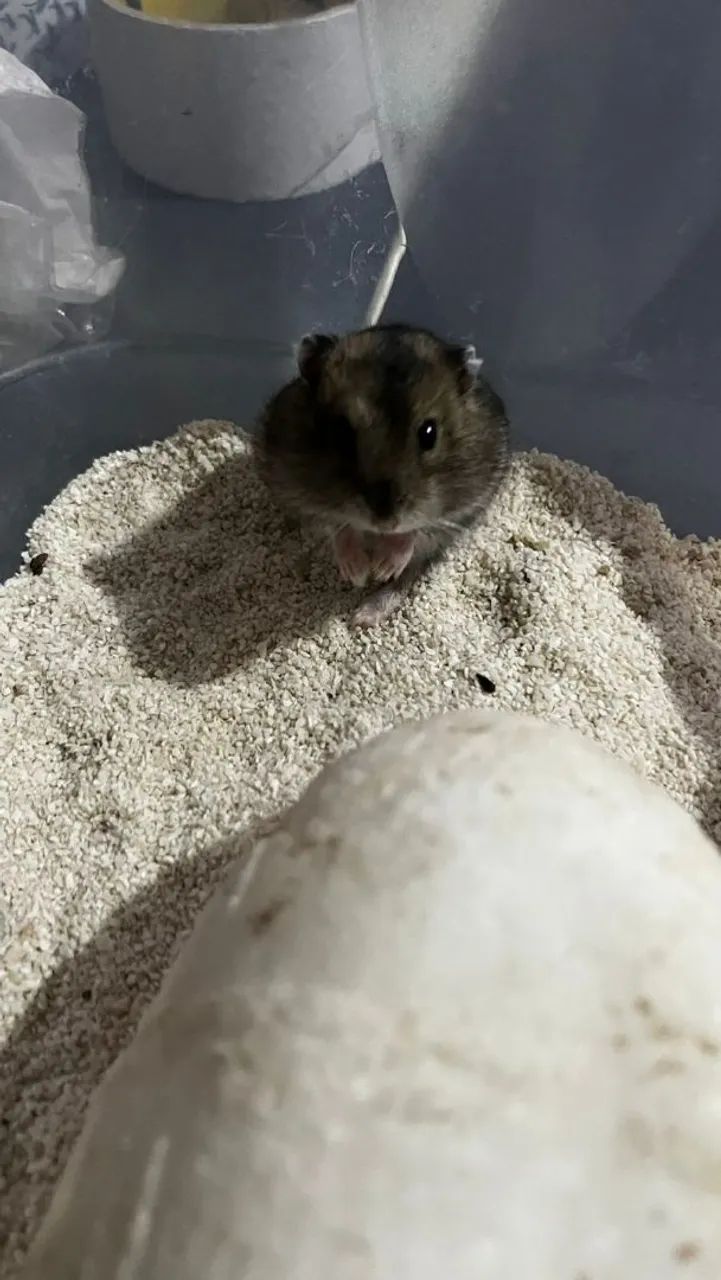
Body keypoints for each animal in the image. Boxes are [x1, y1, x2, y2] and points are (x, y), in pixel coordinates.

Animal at [257, 323, 510, 626]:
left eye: (429, 434)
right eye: (341, 432)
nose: (385, 523)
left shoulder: (466, 507)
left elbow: (417, 530)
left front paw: (381, 568)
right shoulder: (295, 495)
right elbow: (338, 525)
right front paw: (358, 573)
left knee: (408, 577)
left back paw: (365, 613)